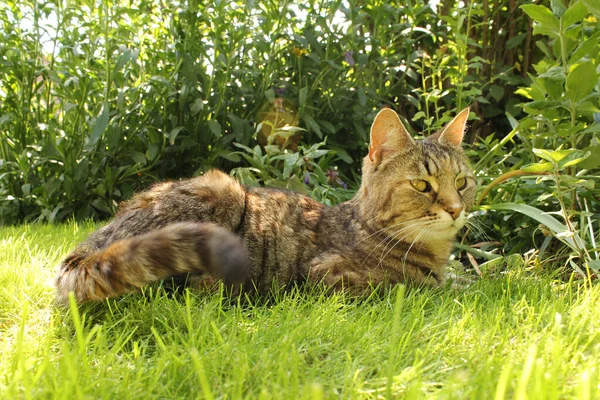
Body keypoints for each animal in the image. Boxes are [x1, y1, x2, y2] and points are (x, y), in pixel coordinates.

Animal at [57, 106, 478, 304]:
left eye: (462, 182)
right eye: (422, 185)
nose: (456, 209)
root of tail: (89, 248)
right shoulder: (330, 277)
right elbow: (416, 287)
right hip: (222, 192)